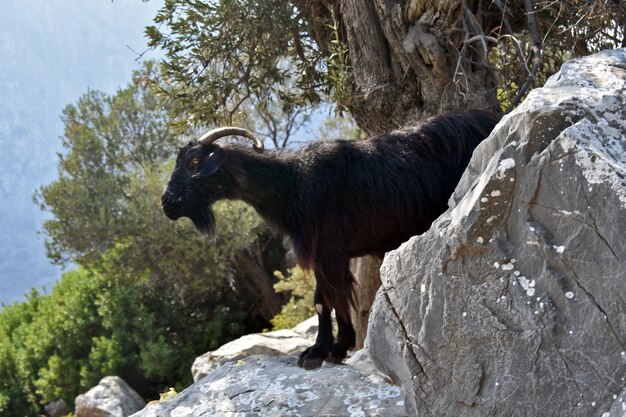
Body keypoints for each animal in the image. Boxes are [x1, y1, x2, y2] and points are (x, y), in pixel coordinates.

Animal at [160, 109, 498, 368]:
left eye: (193, 163)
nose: (167, 203)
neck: (292, 184)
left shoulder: (327, 250)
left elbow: (324, 301)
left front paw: (318, 351)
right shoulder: (334, 254)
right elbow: (336, 299)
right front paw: (338, 347)